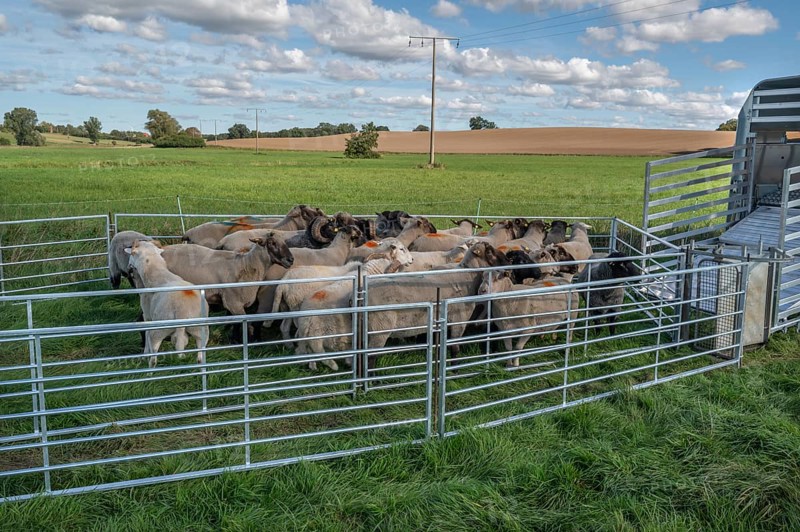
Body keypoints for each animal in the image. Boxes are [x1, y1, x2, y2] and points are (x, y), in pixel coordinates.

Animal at [125, 240, 209, 368]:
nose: (128, 267)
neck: (158, 273)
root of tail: (182, 311)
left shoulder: (147, 316)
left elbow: (146, 333)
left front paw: (144, 355)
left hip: (159, 329)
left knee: (154, 355)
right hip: (201, 331)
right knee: (200, 356)